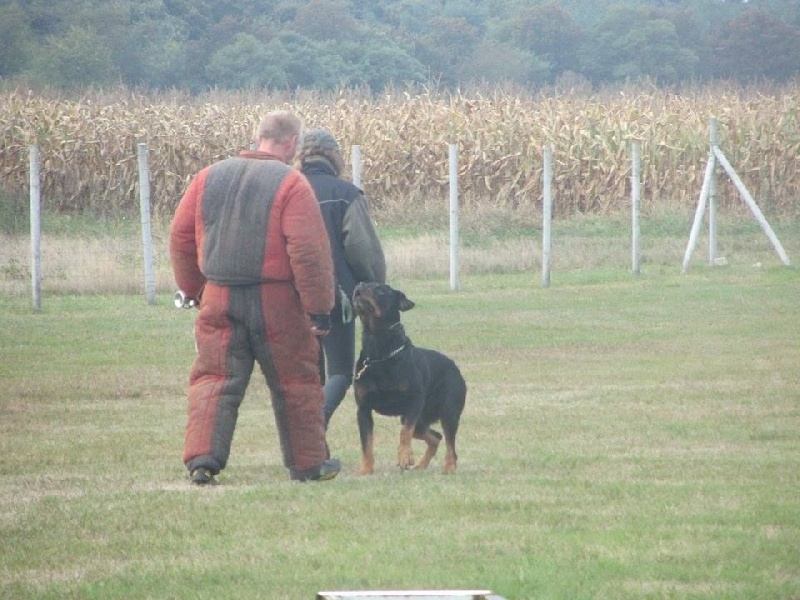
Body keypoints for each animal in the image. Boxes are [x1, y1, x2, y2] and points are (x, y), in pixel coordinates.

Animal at [351, 282, 467, 475]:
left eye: (380, 290)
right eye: (362, 283)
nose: (358, 286)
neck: (380, 351)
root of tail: (455, 368)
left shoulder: (414, 401)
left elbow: (404, 433)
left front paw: (404, 456)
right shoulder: (363, 409)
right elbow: (366, 442)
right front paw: (366, 469)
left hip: (448, 412)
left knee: (450, 444)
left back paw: (449, 468)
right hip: (419, 418)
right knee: (436, 436)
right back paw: (420, 464)